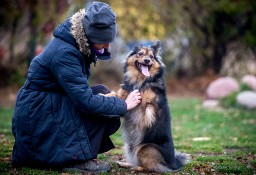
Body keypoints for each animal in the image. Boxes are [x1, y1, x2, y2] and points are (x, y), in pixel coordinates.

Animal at [104, 40, 190, 172]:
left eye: (151, 57)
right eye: (140, 54)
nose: (147, 60)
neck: (140, 80)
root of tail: (173, 164)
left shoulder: (147, 104)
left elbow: (148, 109)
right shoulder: (125, 93)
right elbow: (115, 95)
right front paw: (103, 95)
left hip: (145, 148)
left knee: (150, 167)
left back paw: (136, 168)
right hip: (129, 147)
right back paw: (125, 164)